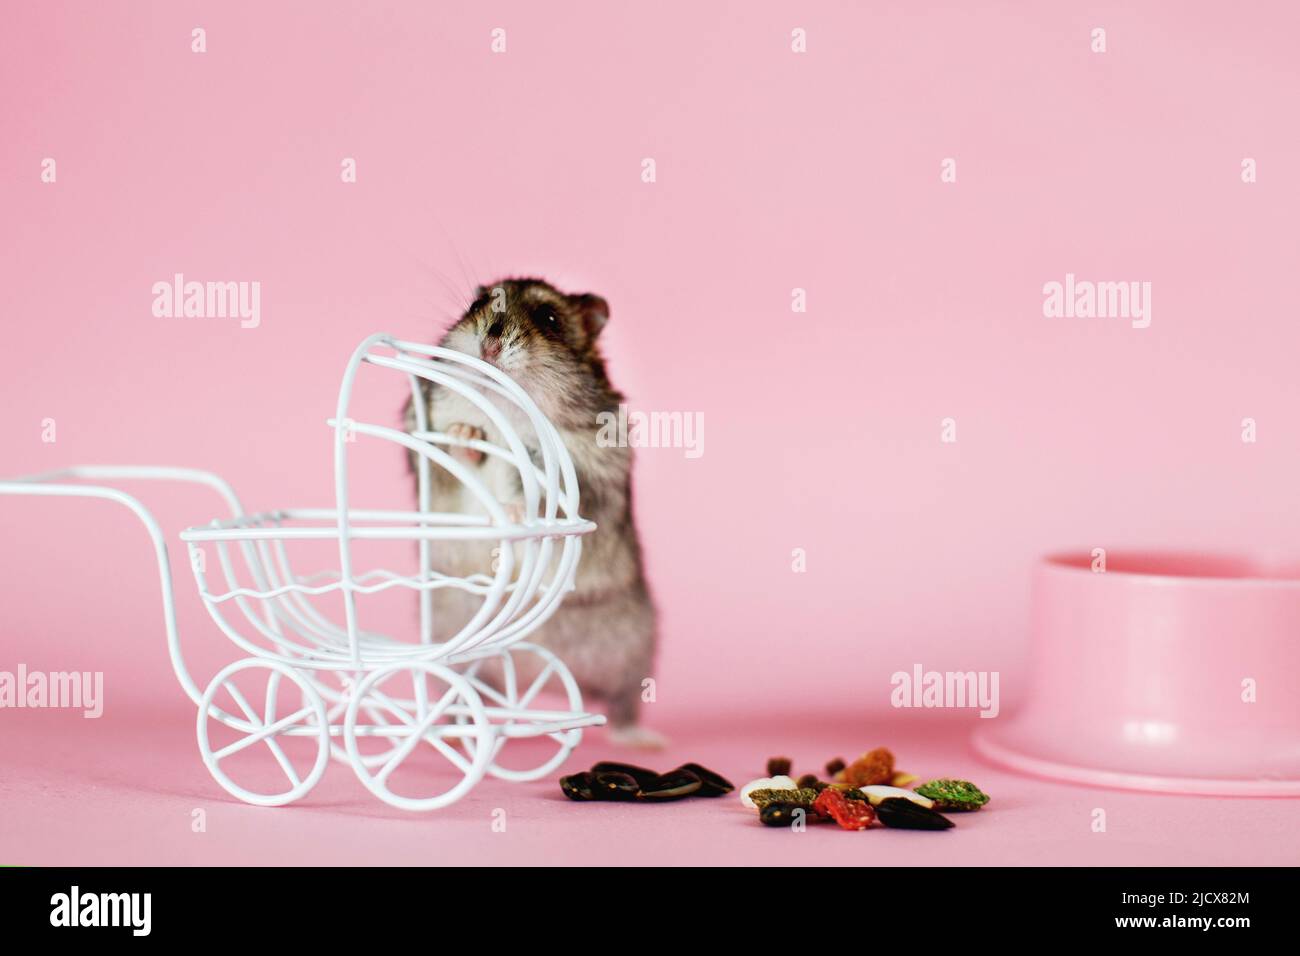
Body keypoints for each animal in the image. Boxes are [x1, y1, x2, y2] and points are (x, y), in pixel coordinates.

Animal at [403, 277, 660, 749]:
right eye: (477, 305)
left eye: (550, 318)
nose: (489, 342)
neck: (506, 409)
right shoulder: (430, 456)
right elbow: (457, 458)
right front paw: (465, 435)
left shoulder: (589, 477)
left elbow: (541, 494)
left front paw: (512, 511)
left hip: (634, 650)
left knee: (622, 704)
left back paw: (642, 739)